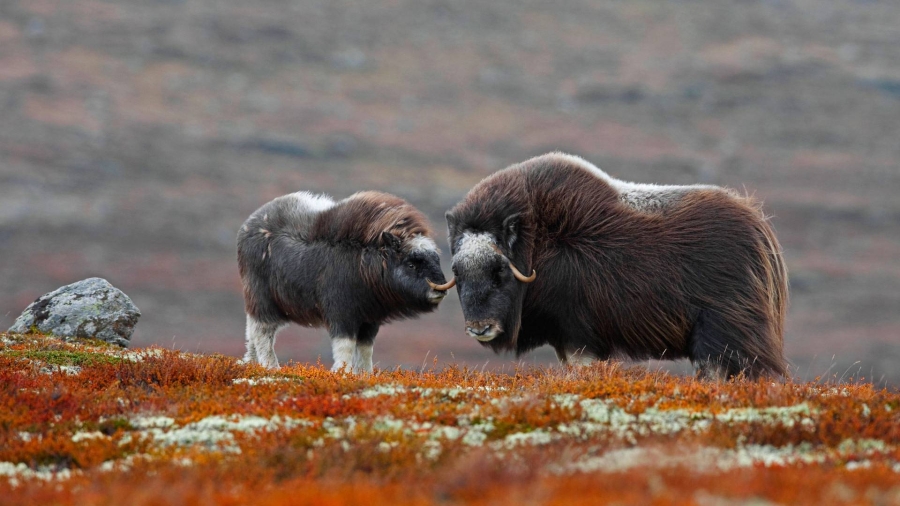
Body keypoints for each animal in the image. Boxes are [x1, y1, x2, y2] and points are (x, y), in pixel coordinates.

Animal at [237, 190, 454, 372]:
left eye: (435, 258)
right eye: (411, 264)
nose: (440, 289)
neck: (367, 260)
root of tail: (248, 226)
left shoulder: (370, 318)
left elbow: (366, 348)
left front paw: (365, 375)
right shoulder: (342, 313)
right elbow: (345, 346)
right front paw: (343, 372)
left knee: (252, 332)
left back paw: (251, 363)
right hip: (262, 300)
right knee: (262, 332)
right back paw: (271, 367)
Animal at [444, 152, 788, 378]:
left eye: (499, 271)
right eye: (457, 272)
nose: (480, 328)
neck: (538, 245)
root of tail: (760, 229)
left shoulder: (578, 335)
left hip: (722, 335)